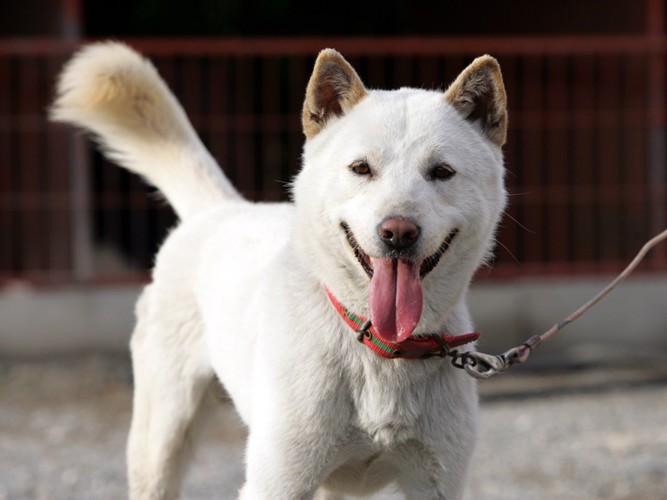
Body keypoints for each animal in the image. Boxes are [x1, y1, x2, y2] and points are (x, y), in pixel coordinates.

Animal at [52, 43, 508, 500]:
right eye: (361, 168)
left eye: (441, 172)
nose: (398, 232)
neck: (381, 347)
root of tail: (220, 208)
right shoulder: (276, 481)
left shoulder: (437, 484)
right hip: (160, 439)